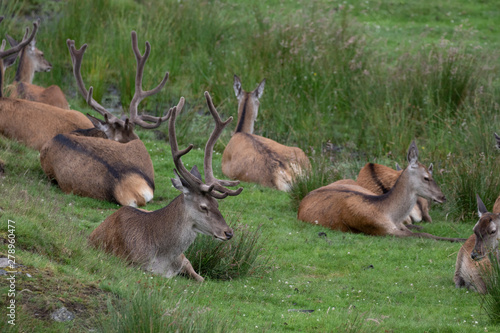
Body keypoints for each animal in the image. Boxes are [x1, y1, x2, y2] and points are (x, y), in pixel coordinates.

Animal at [89, 92, 243, 282]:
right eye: (203, 207)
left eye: (217, 204)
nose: (228, 232)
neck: (163, 259)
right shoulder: (135, 264)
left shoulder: (185, 261)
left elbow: (202, 278)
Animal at [296, 140, 464, 241]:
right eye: (426, 177)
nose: (442, 197)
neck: (387, 212)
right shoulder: (380, 230)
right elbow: (422, 235)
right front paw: (460, 239)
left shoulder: (397, 226)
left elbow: (423, 232)